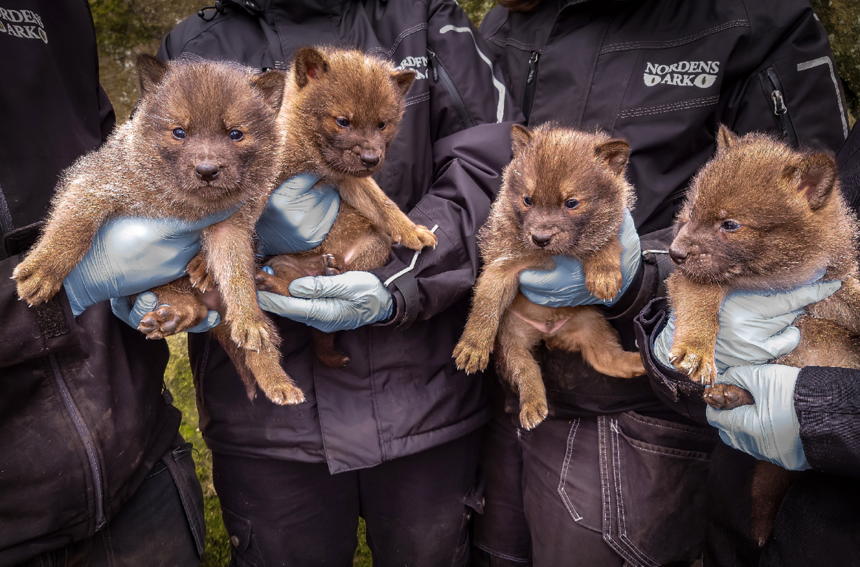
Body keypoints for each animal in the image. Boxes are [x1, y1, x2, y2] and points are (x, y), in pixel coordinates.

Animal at [10, 55, 306, 406]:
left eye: (236, 134)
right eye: (179, 132)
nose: (207, 171)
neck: (184, 206)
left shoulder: (229, 229)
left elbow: (239, 280)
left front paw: (249, 319)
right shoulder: (97, 183)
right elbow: (74, 226)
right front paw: (43, 269)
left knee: (249, 342)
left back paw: (279, 382)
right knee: (192, 307)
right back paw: (171, 316)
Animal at [456, 122, 644, 428]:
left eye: (571, 203)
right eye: (527, 200)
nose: (540, 238)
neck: (553, 255)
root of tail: (550, 333)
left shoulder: (613, 231)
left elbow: (603, 246)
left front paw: (604, 275)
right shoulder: (503, 266)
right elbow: (485, 308)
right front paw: (473, 347)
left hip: (593, 326)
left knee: (609, 361)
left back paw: (640, 362)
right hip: (512, 342)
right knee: (527, 370)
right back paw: (533, 405)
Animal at [668, 125, 860, 544]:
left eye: (730, 224)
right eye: (691, 212)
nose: (673, 252)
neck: (780, 280)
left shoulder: (845, 279)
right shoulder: (696, 281)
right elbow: (700, 305)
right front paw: (695, 350)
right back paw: (728, 394)